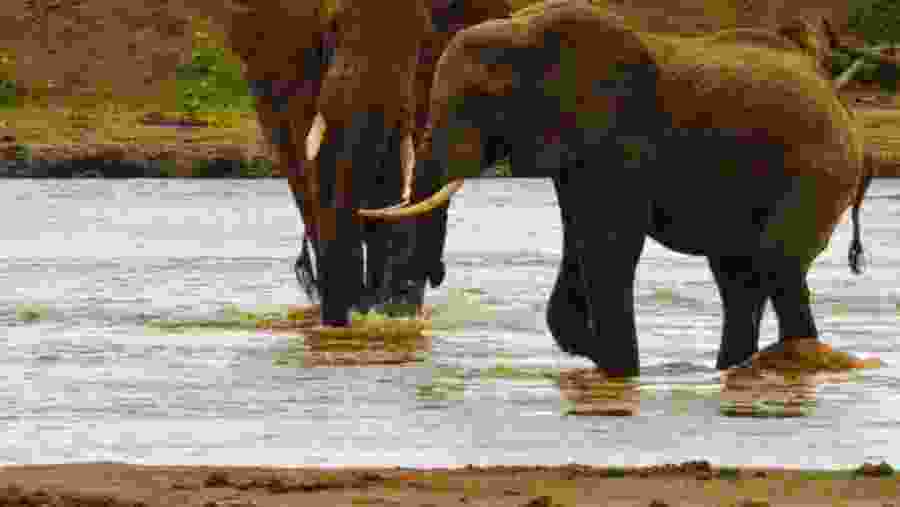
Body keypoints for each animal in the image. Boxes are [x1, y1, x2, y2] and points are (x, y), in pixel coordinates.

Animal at [360, 0, 876, 377]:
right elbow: (580, 238)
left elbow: (610, 243)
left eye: (481, 101)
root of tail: (838, 99)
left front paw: (621, 371)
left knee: (777, 264)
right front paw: (600, 358)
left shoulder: (621, 138)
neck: (527, 28)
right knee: (738, 277)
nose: (435, 275)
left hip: (820, 168)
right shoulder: (578, 155)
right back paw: (733, 371)